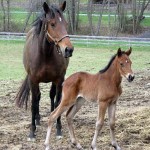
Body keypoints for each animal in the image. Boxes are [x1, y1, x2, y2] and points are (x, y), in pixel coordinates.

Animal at [15, 1, 73, 141]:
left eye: (66, 24)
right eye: (52, 24)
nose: (68, 50)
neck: (45, 54)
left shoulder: (59, 79)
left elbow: (57, 101)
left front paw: (58, 129)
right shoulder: (33, 80)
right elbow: (34, 103)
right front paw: (32, 132)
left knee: (51, 96)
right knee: (38, 98)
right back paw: (37, 119)